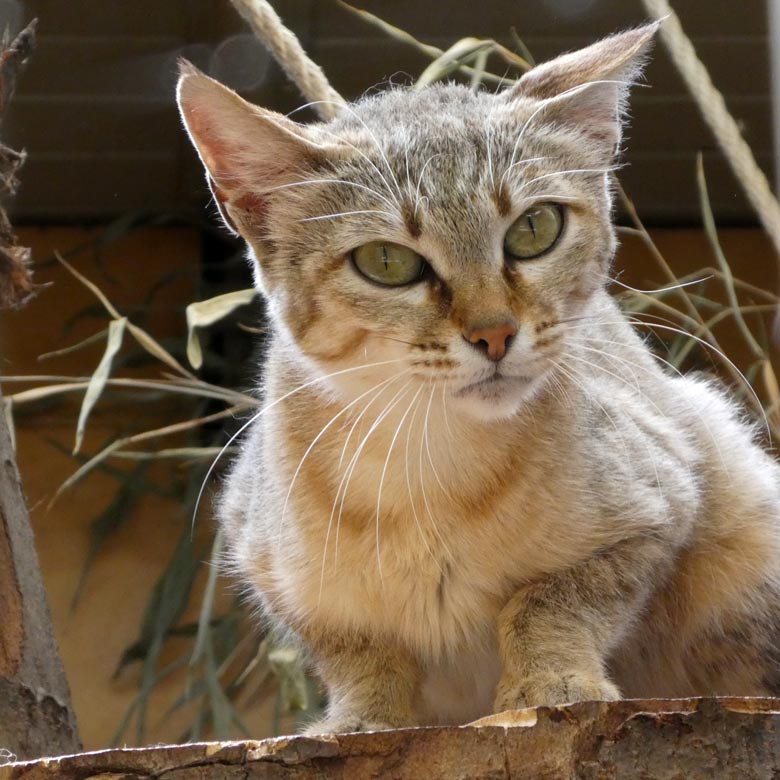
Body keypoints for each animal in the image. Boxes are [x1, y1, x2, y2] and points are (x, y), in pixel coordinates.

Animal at [177, 21, 780, 736]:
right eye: (387, 262)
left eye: (535, 228)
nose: (495, 334)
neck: (427, 466)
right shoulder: (269, 562)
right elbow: (362, 656)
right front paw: (362, 721)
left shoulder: (662, 498)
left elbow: (547, 601)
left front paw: (549, 683)